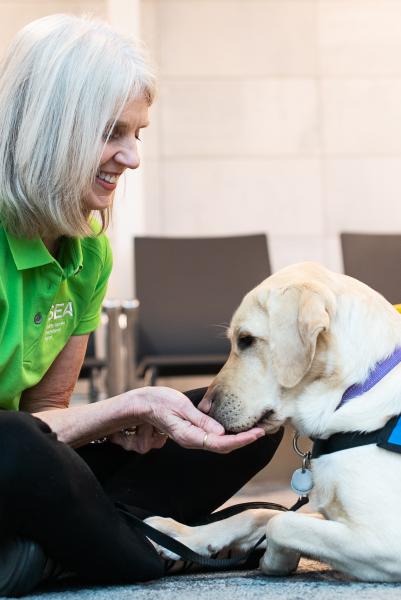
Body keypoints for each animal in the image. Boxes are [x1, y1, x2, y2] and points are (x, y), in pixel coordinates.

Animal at [146, 262, 401, 580]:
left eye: (246, 340)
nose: (203, 408)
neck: (354, 388)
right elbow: (260, 513)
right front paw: (182, 535)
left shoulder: (384, 538)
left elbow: (280, 523)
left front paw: (276, 559)